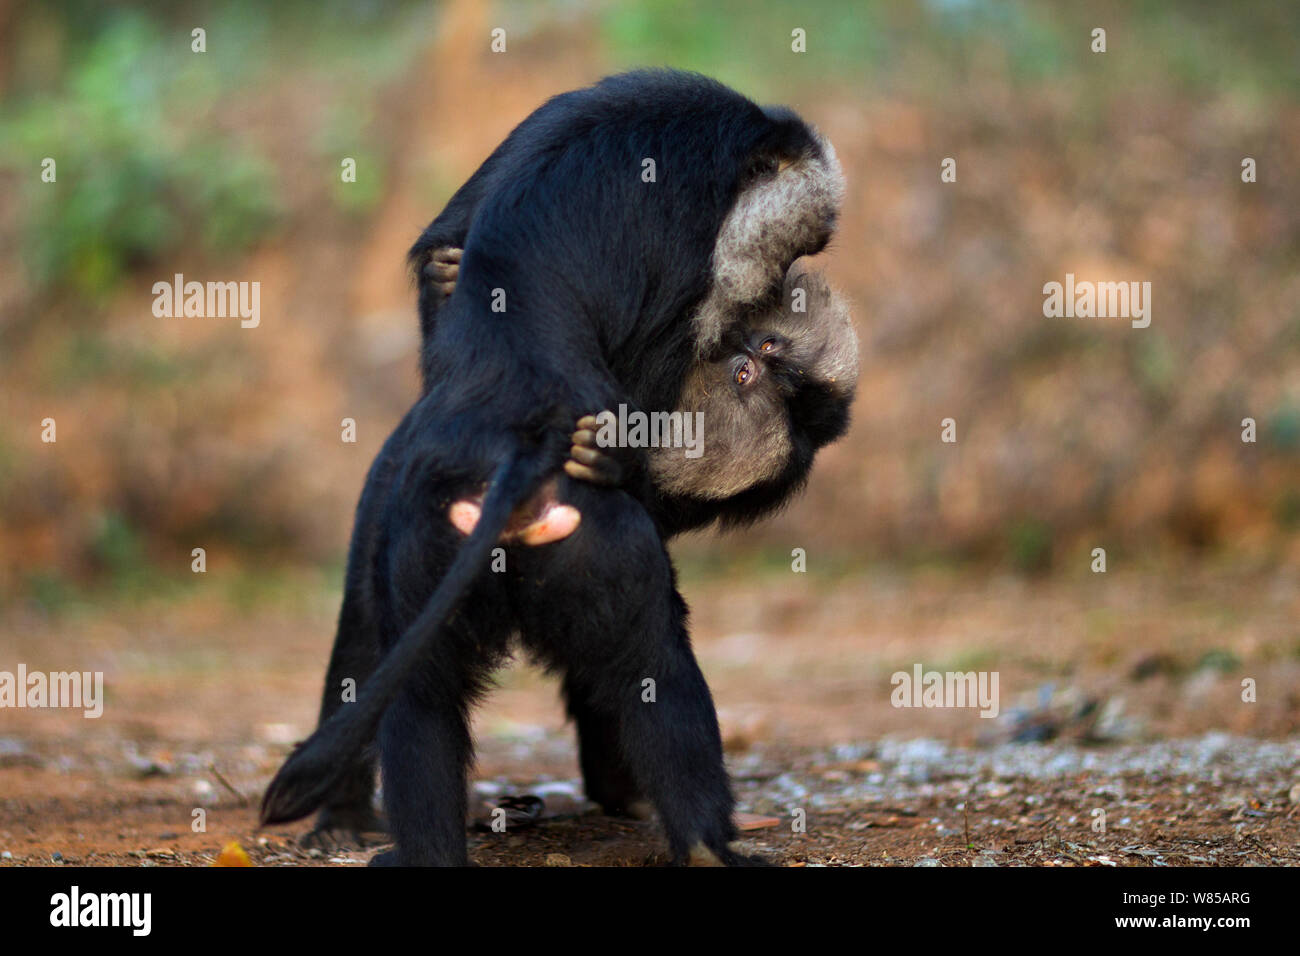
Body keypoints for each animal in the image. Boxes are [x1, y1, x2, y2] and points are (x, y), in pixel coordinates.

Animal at [265, 70, 852, 863]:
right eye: (750, 364)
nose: (788, 280)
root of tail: (521, 436)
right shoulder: (689, 245)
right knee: (654, 659)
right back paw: (702, 838)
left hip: (431, 541)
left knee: (417, 693)